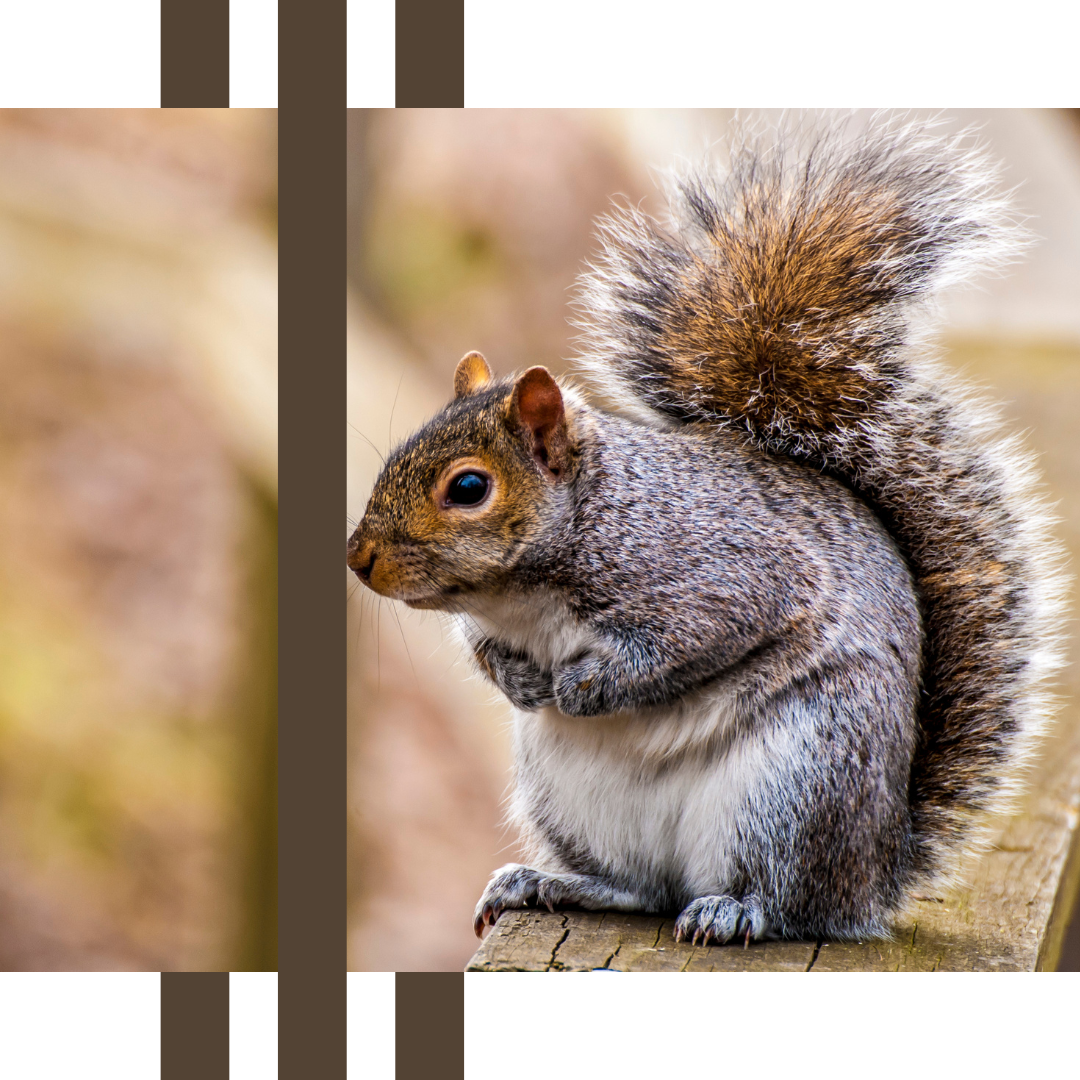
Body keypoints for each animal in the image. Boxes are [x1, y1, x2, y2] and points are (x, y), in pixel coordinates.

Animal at [348, 115, 1068, 946]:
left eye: (468, 487)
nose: (358, 557)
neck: (529, 588)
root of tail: (874, 874)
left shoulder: (721, 575)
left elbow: (688, 645)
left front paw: (587, 685)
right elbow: (484, 651)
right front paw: (519, 679)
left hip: (797, 780)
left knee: (786, 901)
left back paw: (733, 908)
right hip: (572, 797)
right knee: (639, 888)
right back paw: (550, 882)